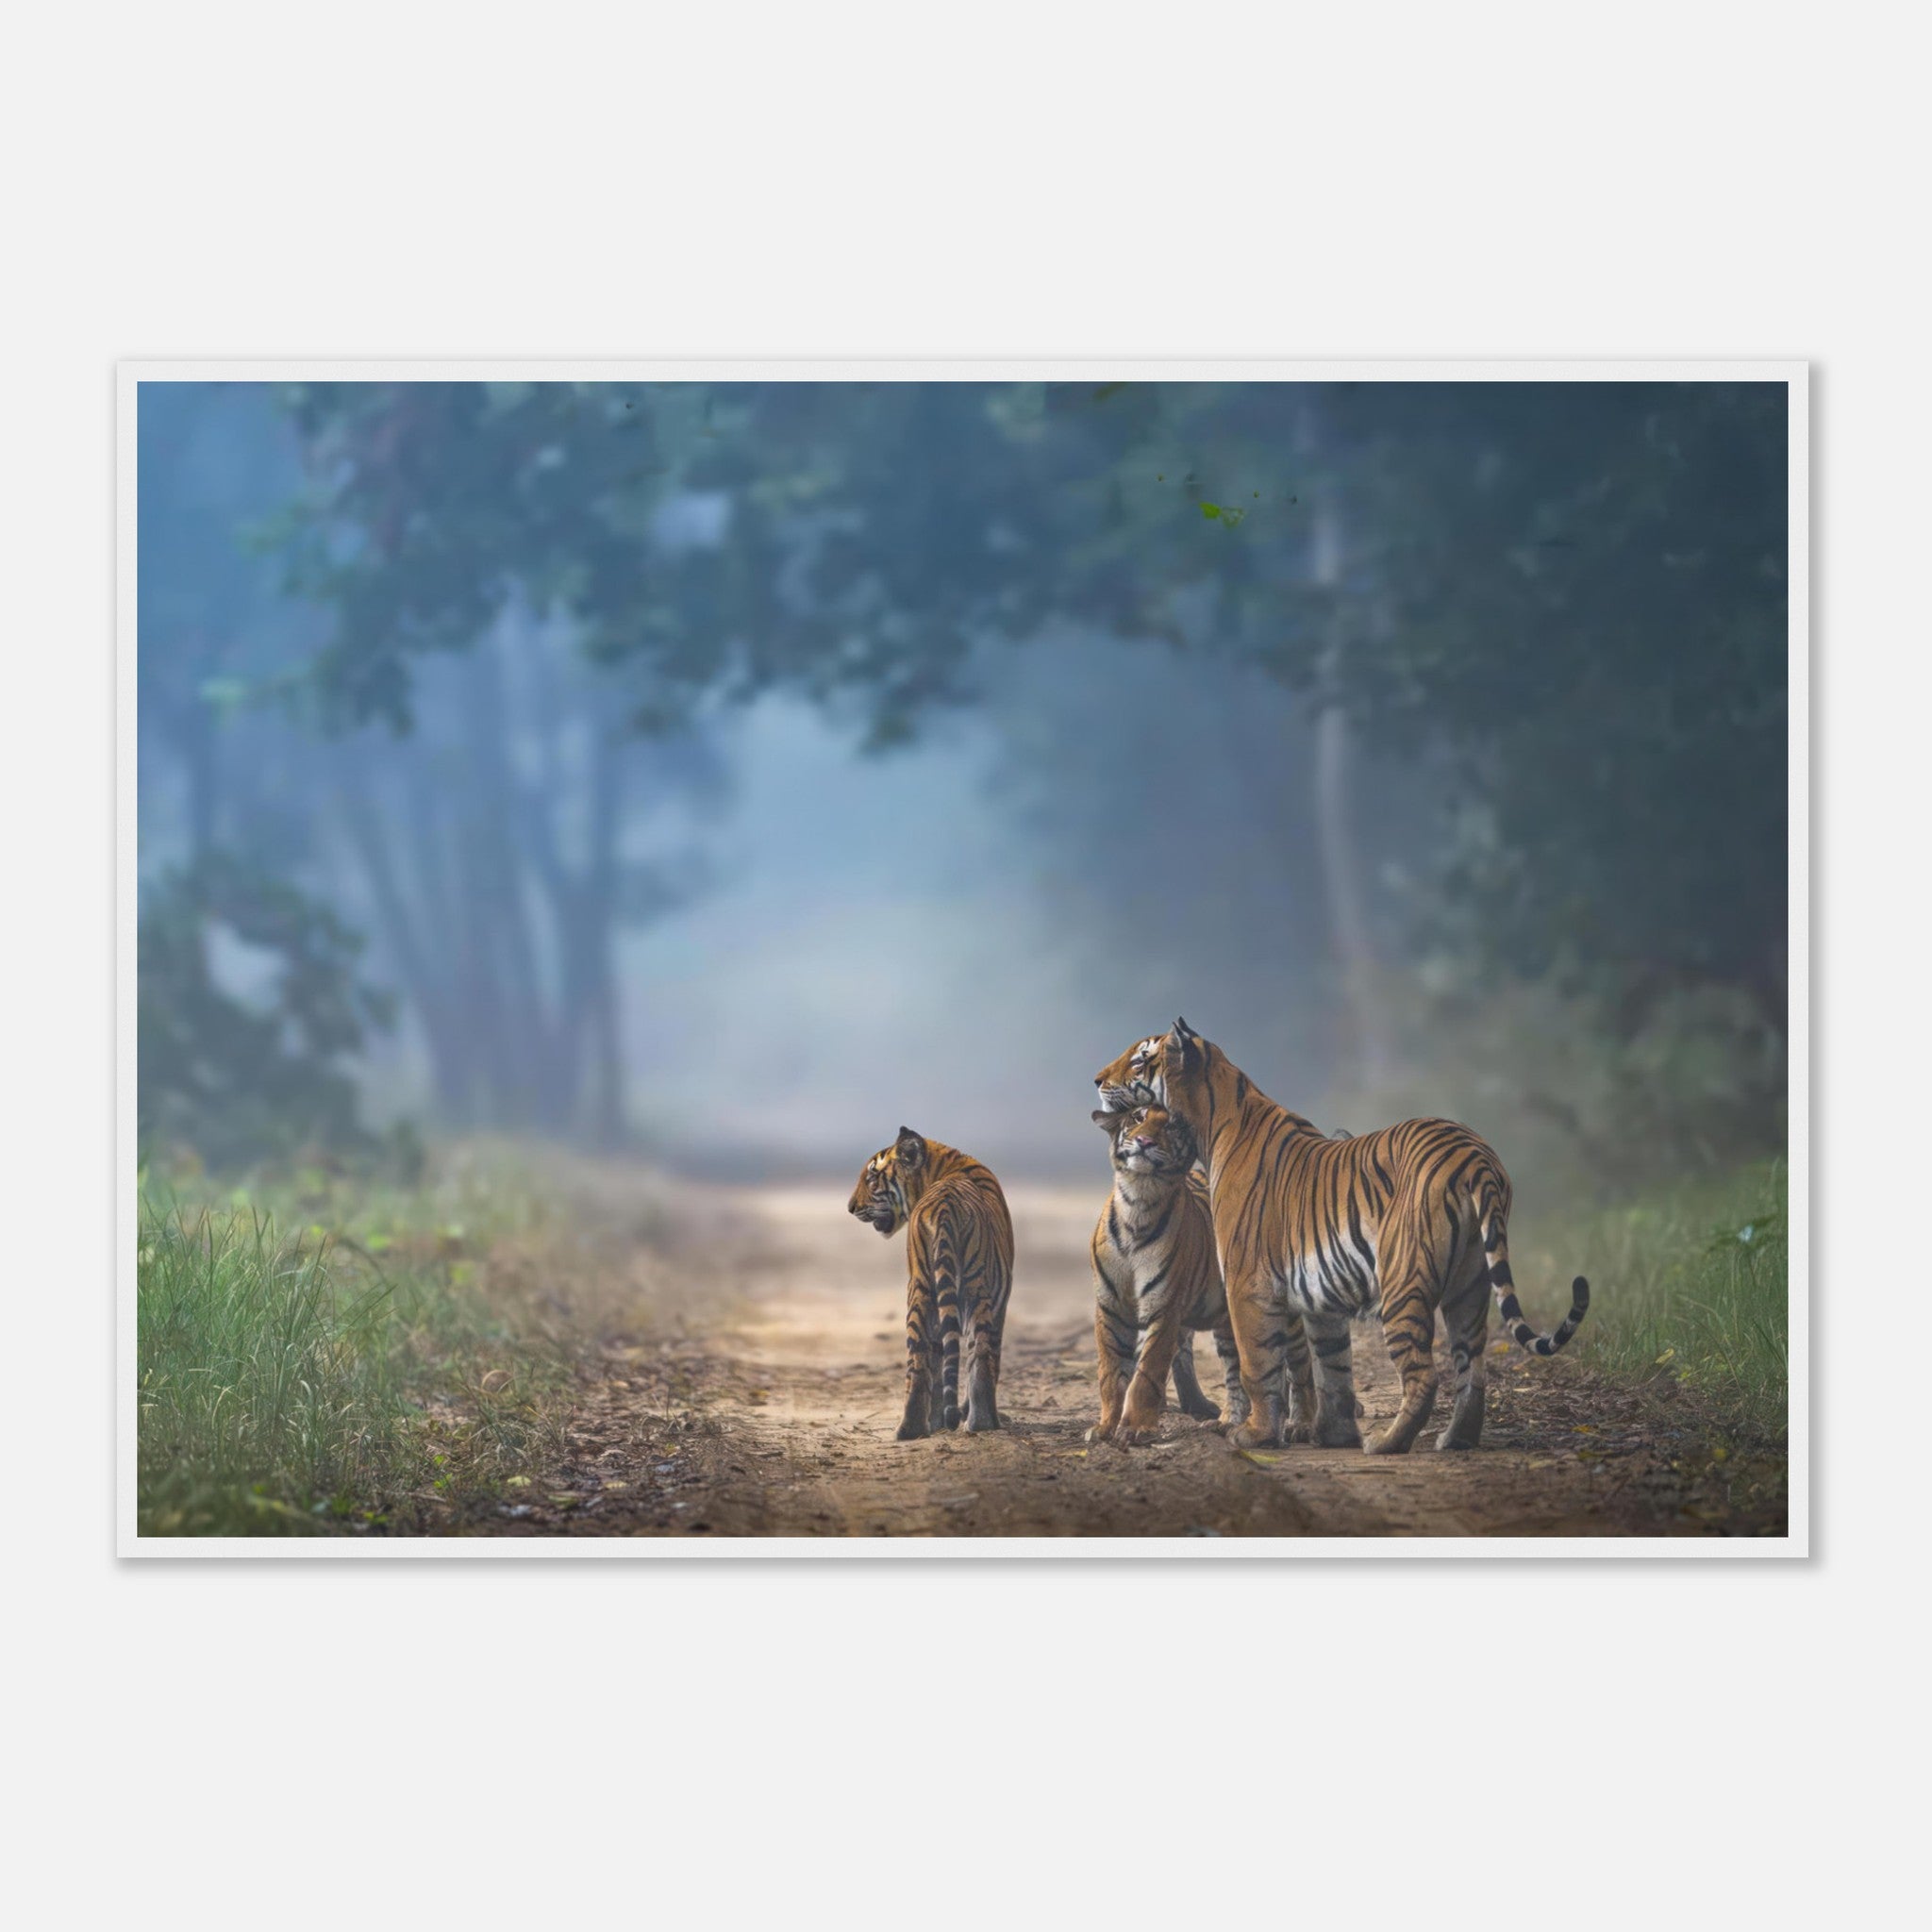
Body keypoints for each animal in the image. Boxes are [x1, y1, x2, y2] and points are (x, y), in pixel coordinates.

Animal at [848, 1126, 1015, 1440]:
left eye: (871, 1179)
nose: (851, 1208)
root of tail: (945, 1206)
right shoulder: (1000, 1303)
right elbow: (989, 1359)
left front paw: (939, 1421)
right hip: (972, 1288)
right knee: (978, 1356)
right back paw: (981, 1422)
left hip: (922, 1289)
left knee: (921, 1359)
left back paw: (911, 1429)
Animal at [1088, 1103, 1298, 1445]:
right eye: (1138, 1118)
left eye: (1171, 1127)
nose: (1145, 1141)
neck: (1138, 1201)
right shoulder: (1110, 1308)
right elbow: (1111, 1373)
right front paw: (1105, 1427)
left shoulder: (1163, 1308)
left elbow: (1147, 1371)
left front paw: (1135, 1428)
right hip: (1227, 1323)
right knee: (1235, 1371)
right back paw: (1227, 1422)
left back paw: (1300, 1423)